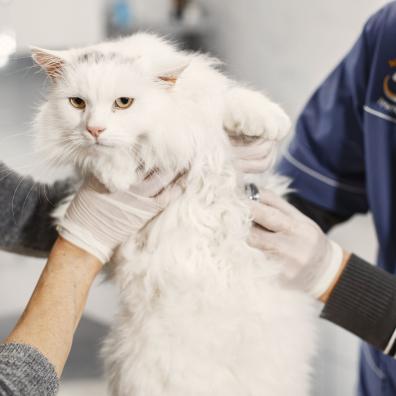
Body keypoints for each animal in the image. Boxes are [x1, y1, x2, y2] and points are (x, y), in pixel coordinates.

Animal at [31, 33, 316, 396]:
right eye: (77, 103)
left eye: (123, 102)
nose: (94, 129)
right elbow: (104, 160)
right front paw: (116, 176)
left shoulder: (203, 108)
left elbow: (230, 100)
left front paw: (267, 120)